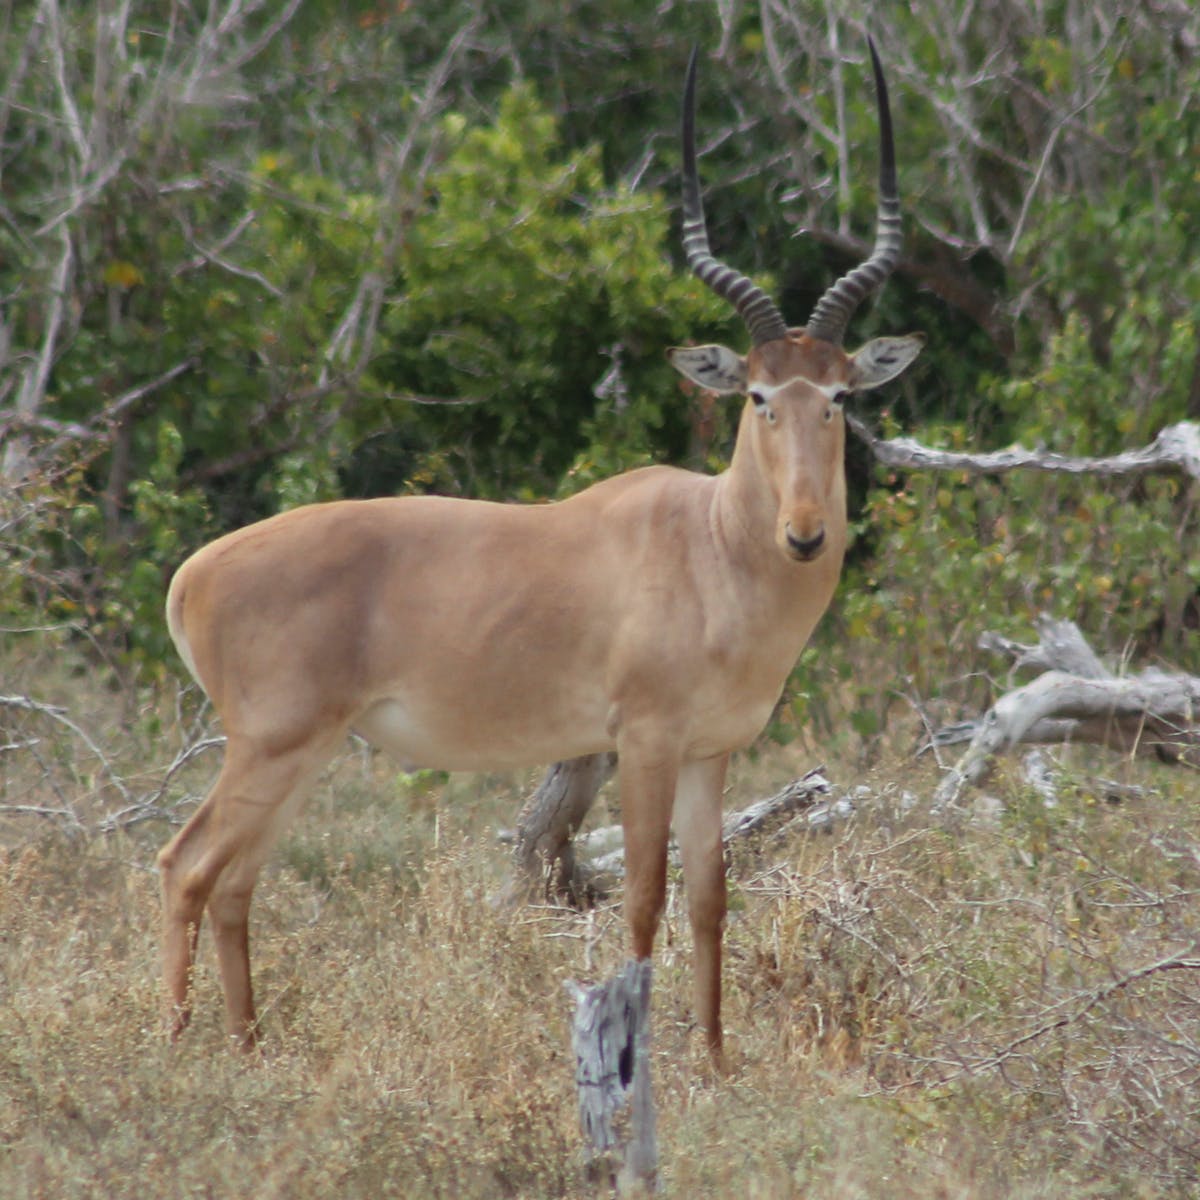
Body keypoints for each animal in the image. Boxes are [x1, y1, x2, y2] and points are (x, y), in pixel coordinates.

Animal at [154, 42, 921, 1056]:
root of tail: (194, 572)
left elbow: (710, 903)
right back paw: (175, 1048)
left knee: (234, 883)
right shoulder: (643, 742)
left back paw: (247, 1046)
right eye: (758, 395)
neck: (710, 542)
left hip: (303, 754)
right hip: (269, 747)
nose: (805, 533)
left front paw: (720, 1063)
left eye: (837, 396)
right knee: (186, 866)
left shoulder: (712, 753)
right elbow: (643, 899)